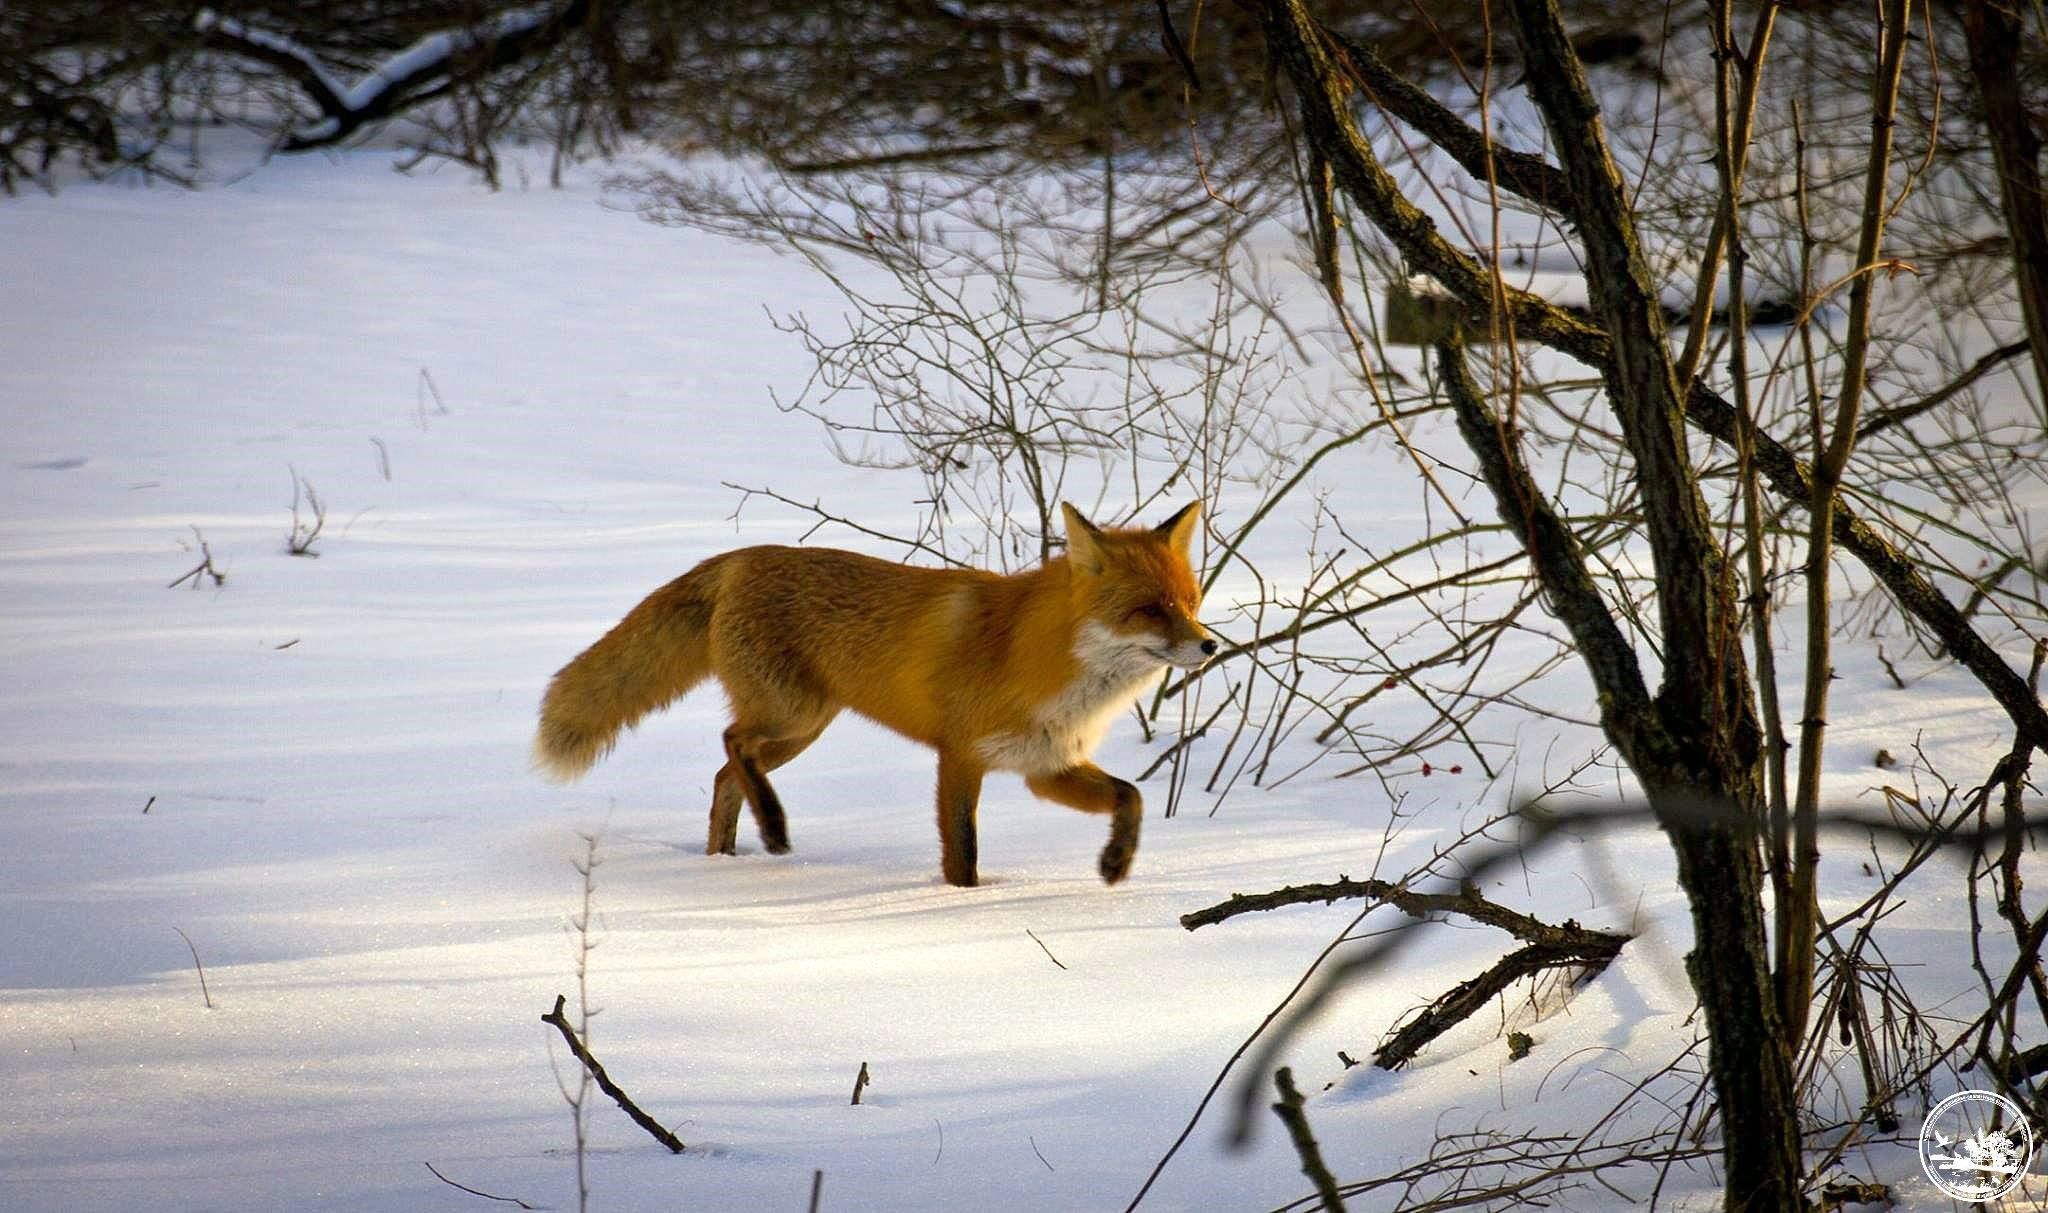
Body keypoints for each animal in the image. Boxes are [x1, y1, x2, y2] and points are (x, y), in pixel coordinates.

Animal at [540, 497, 1212, 885]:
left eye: (1191, 603)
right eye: (1149, 611)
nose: (1208, 647)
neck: (1042, 658)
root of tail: (741, 556)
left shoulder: (1046, 766)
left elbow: (1132, 797)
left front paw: (1116, 862)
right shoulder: (960, 757)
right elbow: (963, 854)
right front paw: (965, 904)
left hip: (801, 730)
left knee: (725, 774)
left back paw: (726, 859)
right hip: (794, 715)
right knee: (731, 743)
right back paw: (773, 827)